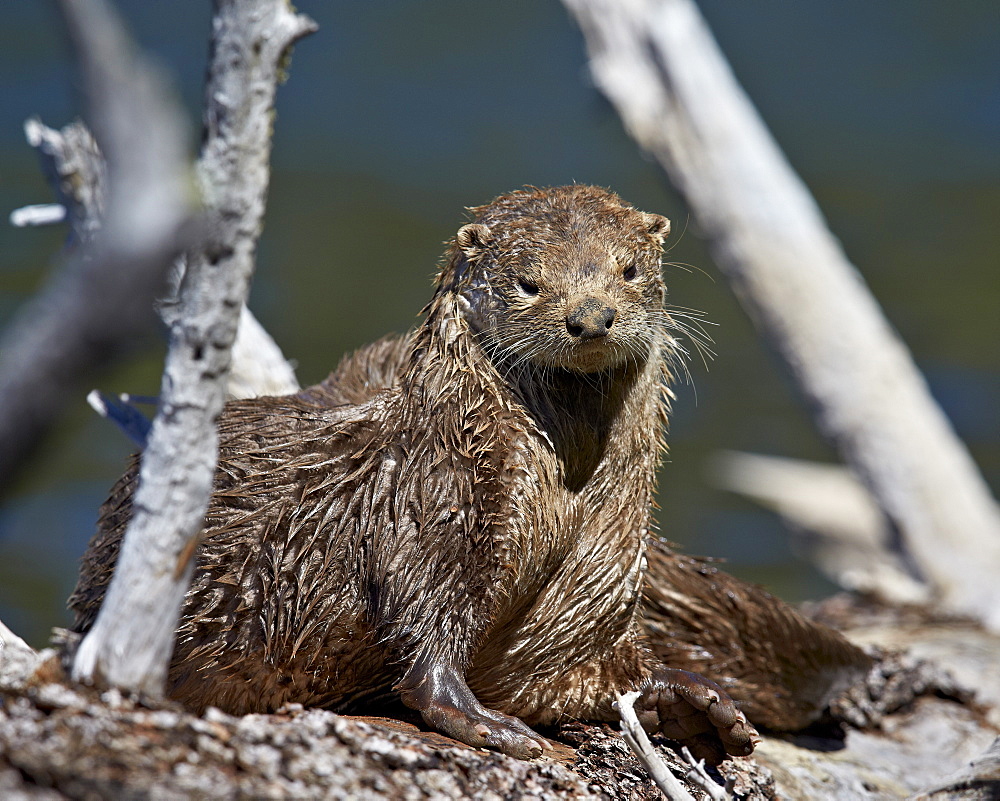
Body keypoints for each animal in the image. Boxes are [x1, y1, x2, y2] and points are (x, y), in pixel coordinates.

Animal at [72, 186, 868, 764]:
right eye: (529, 282)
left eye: (629, 270)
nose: (591, 316)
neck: (561, 493)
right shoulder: (436, 504)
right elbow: (425, 627)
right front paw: (485, 723)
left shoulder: (602, 565)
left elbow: (577, 666)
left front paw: (684, 700)